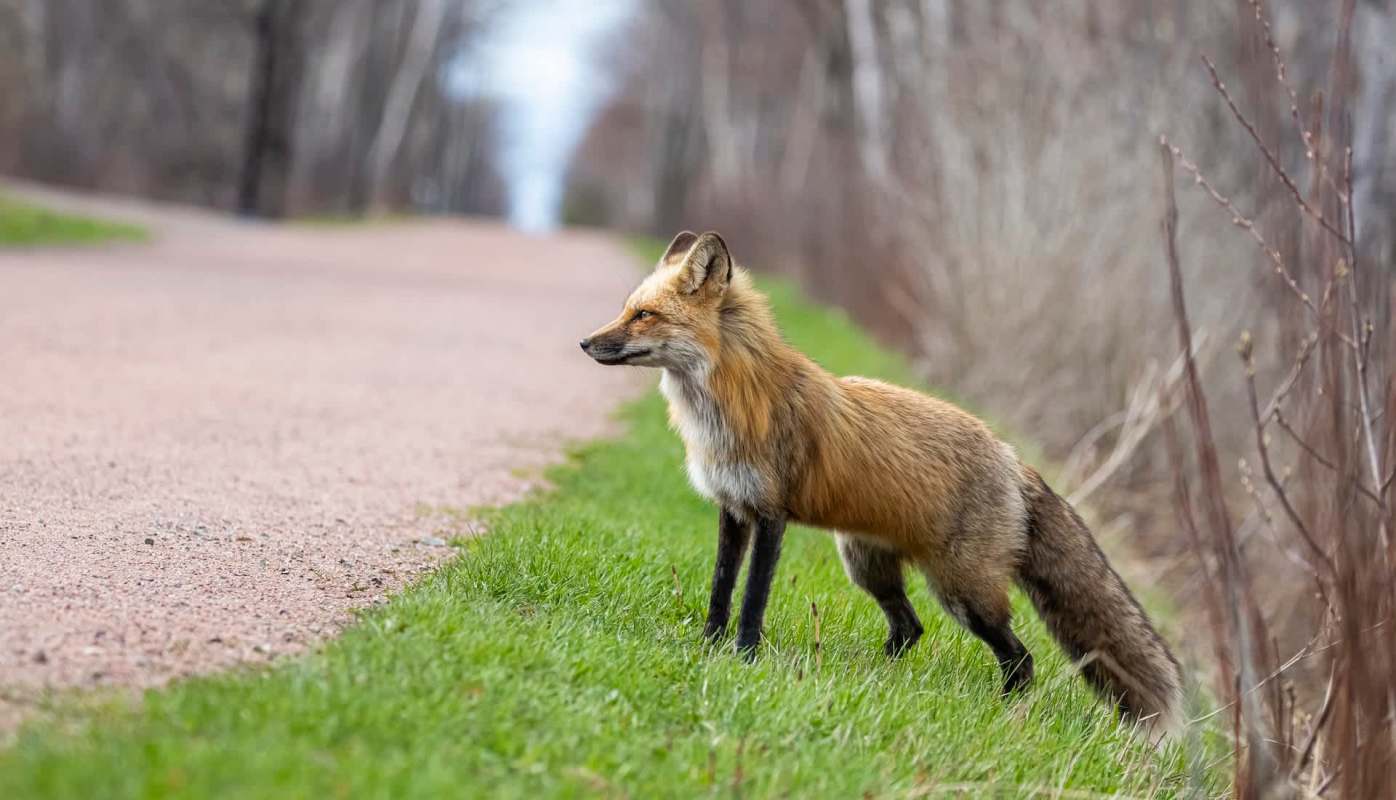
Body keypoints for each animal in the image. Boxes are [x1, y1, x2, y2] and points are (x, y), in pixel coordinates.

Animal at [580, 230, 1183, 727]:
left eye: (643, 315)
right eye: (626, 310)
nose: (585, 342)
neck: (727, 408)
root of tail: (1014, 458)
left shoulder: (771, 514)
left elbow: (752, 598)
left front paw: (744, 659)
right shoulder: (732, 510)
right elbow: (720, 591)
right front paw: (709, 647)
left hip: (962, 589)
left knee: (1021, 657)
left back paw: (1004, 712)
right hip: (866, 564)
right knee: (910, 628)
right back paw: (873, 674)